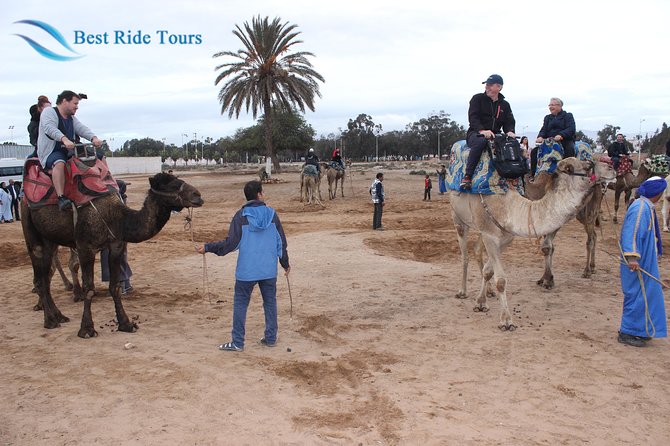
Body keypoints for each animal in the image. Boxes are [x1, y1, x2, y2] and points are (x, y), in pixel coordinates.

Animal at [22, 172, 203, 338]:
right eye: (170, 186)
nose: (198, 195)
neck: (117, 218)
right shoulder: (85, 248)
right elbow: (89, 288)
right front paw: (87, 329)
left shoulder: (116, 246)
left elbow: (115, 286)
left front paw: (126, 324)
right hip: (30, 230)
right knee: (39, 274)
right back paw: (50, 321)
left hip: (49, 240)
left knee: (46, 276)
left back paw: (59, 316)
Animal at [452, 159, 620, 330]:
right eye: (586, 165)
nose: (611, 168)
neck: (511, 208)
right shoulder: (490, 236)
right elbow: (501, 280)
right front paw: (506, 320)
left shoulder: (505, 238)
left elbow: (488, 271)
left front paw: (481, 303)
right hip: (458, 219)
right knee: (465, 255)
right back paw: (462, 291)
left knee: (477, 250)